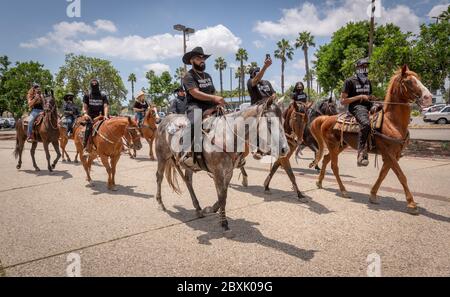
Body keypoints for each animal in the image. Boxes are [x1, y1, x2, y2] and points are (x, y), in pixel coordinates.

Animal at [310, 65, 432, 213]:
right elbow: (401, 176)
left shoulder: (393, 155)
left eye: (418, 78)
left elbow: (383, 174)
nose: (428, 97)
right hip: (333, 145)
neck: (391, 122)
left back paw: (319, 182)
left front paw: (373, 195)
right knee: (334, 166)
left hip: (341, 145)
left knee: (326, 159)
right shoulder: (389, 153)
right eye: (409, 81)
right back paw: (343, 190)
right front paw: (411, 204)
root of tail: (326, 118)